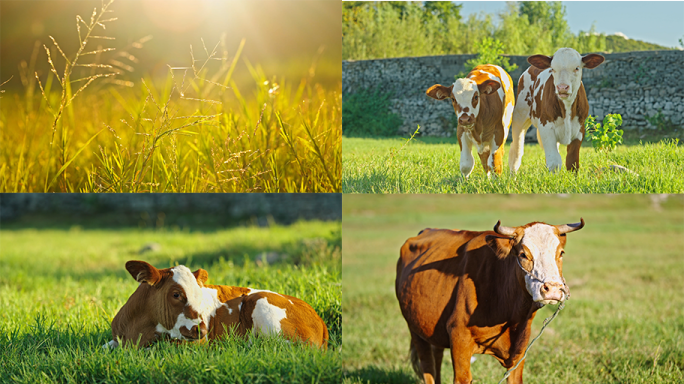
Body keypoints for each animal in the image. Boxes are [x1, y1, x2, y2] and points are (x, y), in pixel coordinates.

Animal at [396, 219, 584, 384]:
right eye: (523, 254)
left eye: (561, 253)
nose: (552, 289)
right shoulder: (459, 339)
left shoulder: (520, 350)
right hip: (416, 331)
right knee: (428, 369)